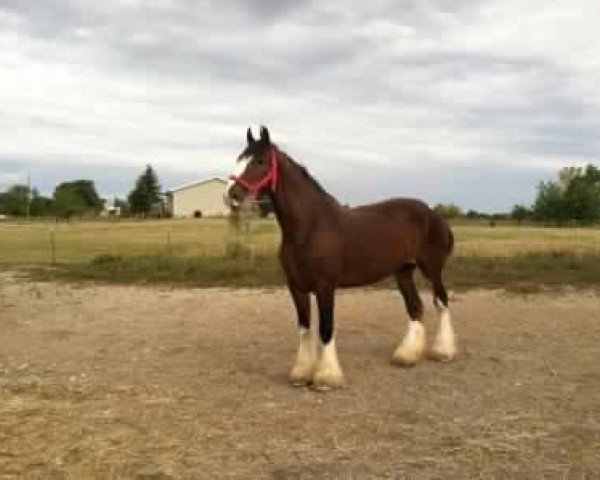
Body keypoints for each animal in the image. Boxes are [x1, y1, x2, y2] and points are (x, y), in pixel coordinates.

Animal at [225, 126, 454, 390]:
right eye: (239, 158)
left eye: (260, 161)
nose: (231, 195)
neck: (311, 226)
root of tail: (433, 214)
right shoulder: (296, 287)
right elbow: (304, 328)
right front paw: (301, 374)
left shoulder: (325, 286)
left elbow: (326, 329)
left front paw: (326, 378)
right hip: (403, 271)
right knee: (415, 307)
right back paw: (406, 356)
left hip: (431, 269)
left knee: (441, 301)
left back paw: (443, 352)